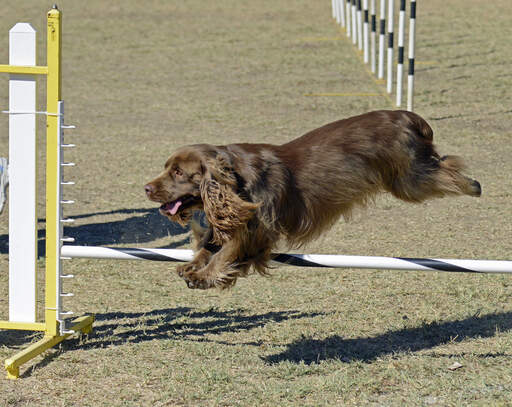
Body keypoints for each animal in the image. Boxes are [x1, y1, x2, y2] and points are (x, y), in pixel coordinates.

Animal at [144, 111, 480, 290]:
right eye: (166, 167)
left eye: (178, 172)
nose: (146, 188)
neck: (235, 179)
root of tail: (407, 116)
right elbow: (209, 246)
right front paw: (191, 267)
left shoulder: (258, 230)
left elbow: (228, 253)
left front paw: (204, 276)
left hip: (410, 180)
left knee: (449, 169)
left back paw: (474, 185)